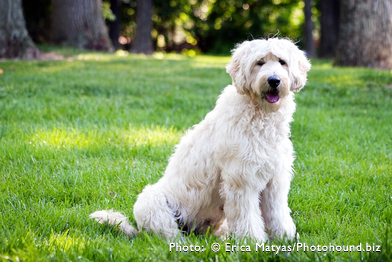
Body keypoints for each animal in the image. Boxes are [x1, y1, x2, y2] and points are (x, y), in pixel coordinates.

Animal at [91, 37, 310, 242]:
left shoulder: (275, 180)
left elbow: (278, 214)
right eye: (260, 62)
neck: (261, 117)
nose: (274, 80)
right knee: (169, 236)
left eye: (282, 62)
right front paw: (253, 243)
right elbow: (248, 217)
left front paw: (287, 240)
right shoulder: (242, 181)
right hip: (152, 202)